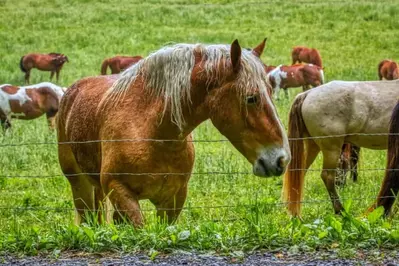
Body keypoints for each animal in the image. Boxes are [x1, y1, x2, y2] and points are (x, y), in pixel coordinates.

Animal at [57, 39, 290, 227]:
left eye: (271, 91)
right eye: (251, 98)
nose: (281, 159)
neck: (152, 131)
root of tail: (71, 91)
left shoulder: (173, 199)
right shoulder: (120, 191)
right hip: (80, 185)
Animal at [282, 79, 399, 216]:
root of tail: (307, 93)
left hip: (312, 147)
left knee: (300, 173)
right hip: (331, 150)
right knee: (327, 176)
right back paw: (340, 211)